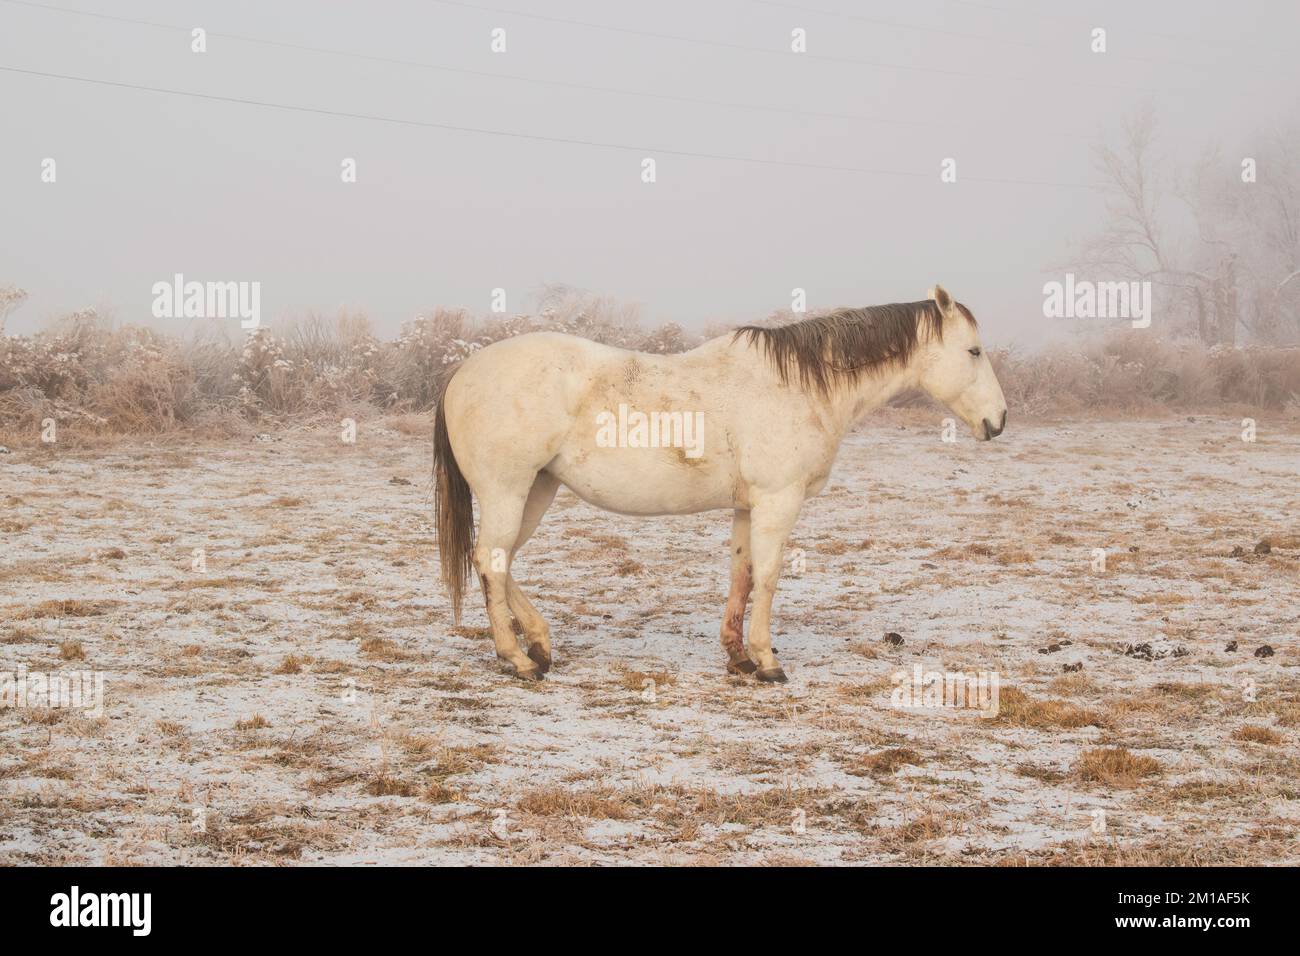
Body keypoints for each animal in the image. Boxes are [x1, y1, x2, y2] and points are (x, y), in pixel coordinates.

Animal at [434, 285, 1007, 682]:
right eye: (974, 351)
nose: (998, 421)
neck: (796, 387)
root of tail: (463, 372)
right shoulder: (779, 500)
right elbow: (770, 576)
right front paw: (767, 661)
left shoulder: (748, 506)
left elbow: (743, 574)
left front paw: (738, 657)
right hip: (509, 491)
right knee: (491, 560)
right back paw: (518, 659)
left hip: (536, 491)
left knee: (499, 562)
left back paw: (540, 644)